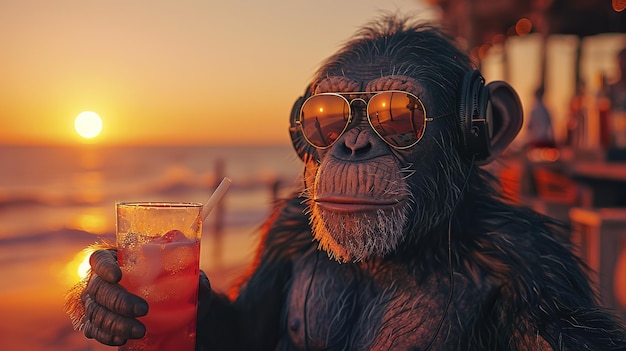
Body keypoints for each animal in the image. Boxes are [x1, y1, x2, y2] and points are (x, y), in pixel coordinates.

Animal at [63, 12, 624, 350]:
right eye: (324, 116)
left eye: (399, 114)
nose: (353, 144)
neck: (397, 253)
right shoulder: (287, 228)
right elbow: (247, 330)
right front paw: (106, 294)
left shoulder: (535, 270)